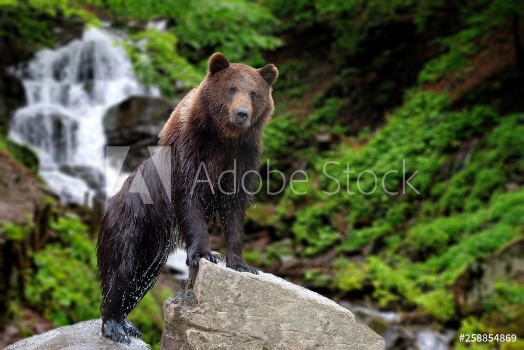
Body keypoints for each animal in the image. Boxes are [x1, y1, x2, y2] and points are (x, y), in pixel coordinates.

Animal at [97, 53, 278, 344]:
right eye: (231, 89)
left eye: (254, 93)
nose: (242, 114)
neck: (223, 138)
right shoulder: (190, 153)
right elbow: (190, 200)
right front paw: (204, 254)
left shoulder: (241, 159)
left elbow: (235, 210)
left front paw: (241, 263)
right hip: (131, 223)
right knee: (122, 269)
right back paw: (115, 326)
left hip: (153, 248)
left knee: (141, 278)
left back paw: (127, 323)